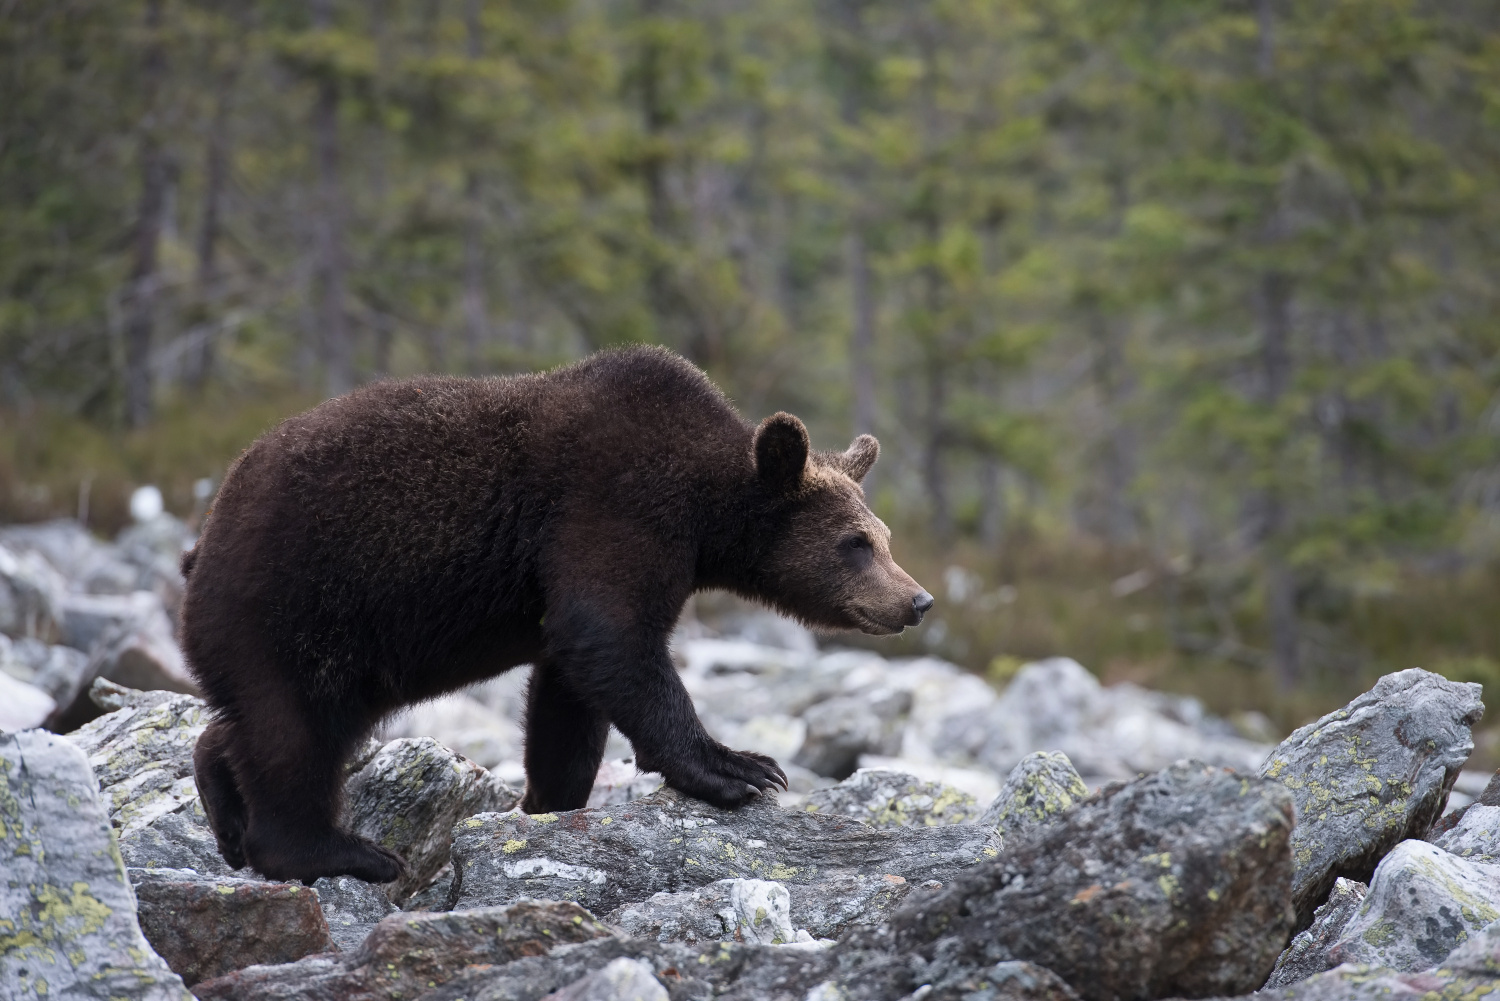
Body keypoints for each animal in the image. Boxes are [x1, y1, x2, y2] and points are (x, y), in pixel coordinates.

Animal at [181, 346, 930, 882]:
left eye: (885, 535)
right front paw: (739, 766)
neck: (705, 505)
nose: (916, 599)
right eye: (855, 543)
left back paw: (223, 803)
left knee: (272, 723)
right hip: (293, 606)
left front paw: (549, 799)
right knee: (294, 731)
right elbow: (610, 635)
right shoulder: (613, 503)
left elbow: (569, 692)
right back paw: (343, 851)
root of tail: (205, 533)